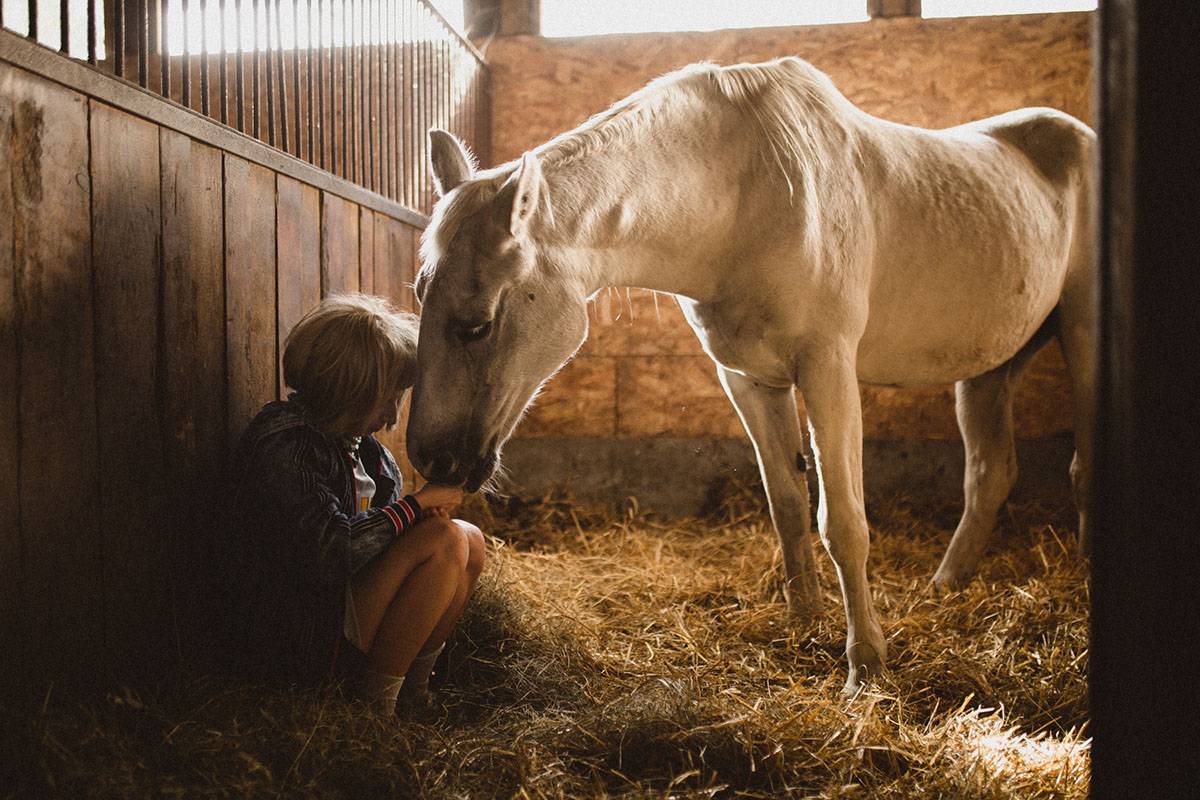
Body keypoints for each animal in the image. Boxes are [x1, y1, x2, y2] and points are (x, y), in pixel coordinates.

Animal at [405, 57, 1099, 695]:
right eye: (419, 294)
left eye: (476, 325)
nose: (432, 459)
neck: (747, 195)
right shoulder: (749, 378)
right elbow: (788, 505)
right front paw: (805, 624)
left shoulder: (828, 367)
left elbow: (843, 523)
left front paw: (866, 667)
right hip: (991, 367)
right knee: (990, 473)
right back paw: (946, 586)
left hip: (1082, 335)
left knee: (1076, 468)